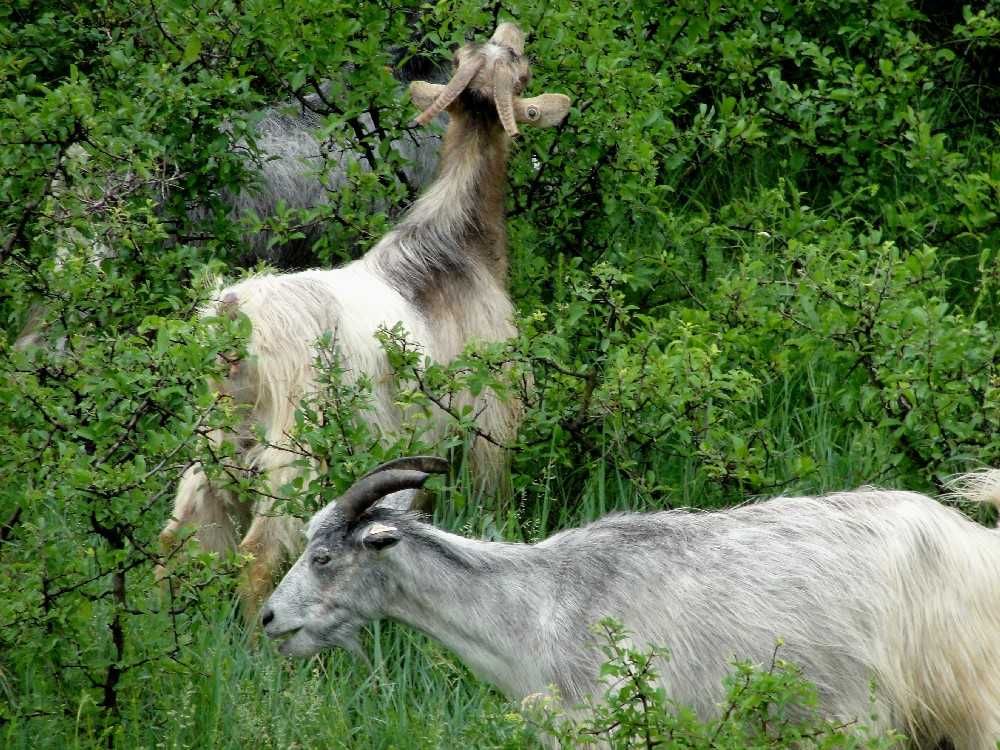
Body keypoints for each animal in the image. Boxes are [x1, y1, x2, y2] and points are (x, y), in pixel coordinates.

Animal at [161, 25, 576, 612]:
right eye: (522, 69)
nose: (511, 32)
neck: (458, 247)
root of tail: (233, 320)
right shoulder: (487, 424)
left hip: (211, 446)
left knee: (174, 544)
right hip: (291, 452)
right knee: (258, 556)